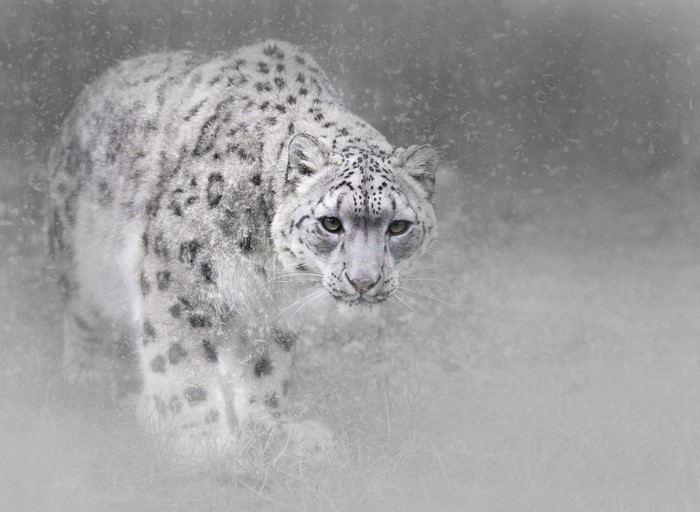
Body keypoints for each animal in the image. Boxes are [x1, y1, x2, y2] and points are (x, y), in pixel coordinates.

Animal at [47, 39, 438, 459]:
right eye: (331, 223)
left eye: (398, 226)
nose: (364, 281)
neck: (267, 263)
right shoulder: (175, 274)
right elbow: (181, 360)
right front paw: (204, 443)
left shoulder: (272, 309)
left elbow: (266, 367)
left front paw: (272, 430)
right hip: (79, 254)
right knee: (82, 312)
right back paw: (90, 374)